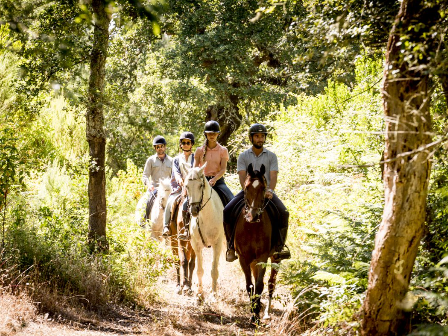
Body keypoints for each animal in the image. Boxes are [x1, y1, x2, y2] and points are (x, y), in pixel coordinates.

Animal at [181, 164, 224, 298]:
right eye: (186, 186)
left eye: (200, 185)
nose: (194, 210)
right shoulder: (196, 245)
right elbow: (199, 270)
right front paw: (200, 293)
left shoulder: (217, 244)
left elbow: (214, 270)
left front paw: (213, 294)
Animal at [234, 164, 280, 324]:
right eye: (247, 187)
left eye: (263, 188)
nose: (252, 216)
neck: (252, 227)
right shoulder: (243, 258)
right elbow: (250, 285)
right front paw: (253, 314)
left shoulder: (262, 257)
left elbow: (260, 285)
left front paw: (257, 316)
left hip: (275, 258)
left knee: (271, 283)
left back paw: (266, 313)